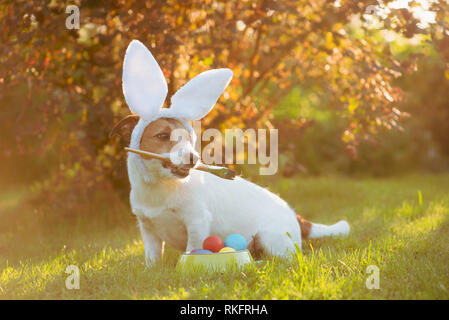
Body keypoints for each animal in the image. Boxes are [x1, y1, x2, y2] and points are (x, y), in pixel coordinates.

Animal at [110, 40, 348, 264]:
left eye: (188, 138)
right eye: (162, 136)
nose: (193, 158)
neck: (160, 187)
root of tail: (295, 215)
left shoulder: (197, 223)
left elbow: (192, 248)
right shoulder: (148, 230)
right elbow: (152, 259)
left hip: (270, 238)